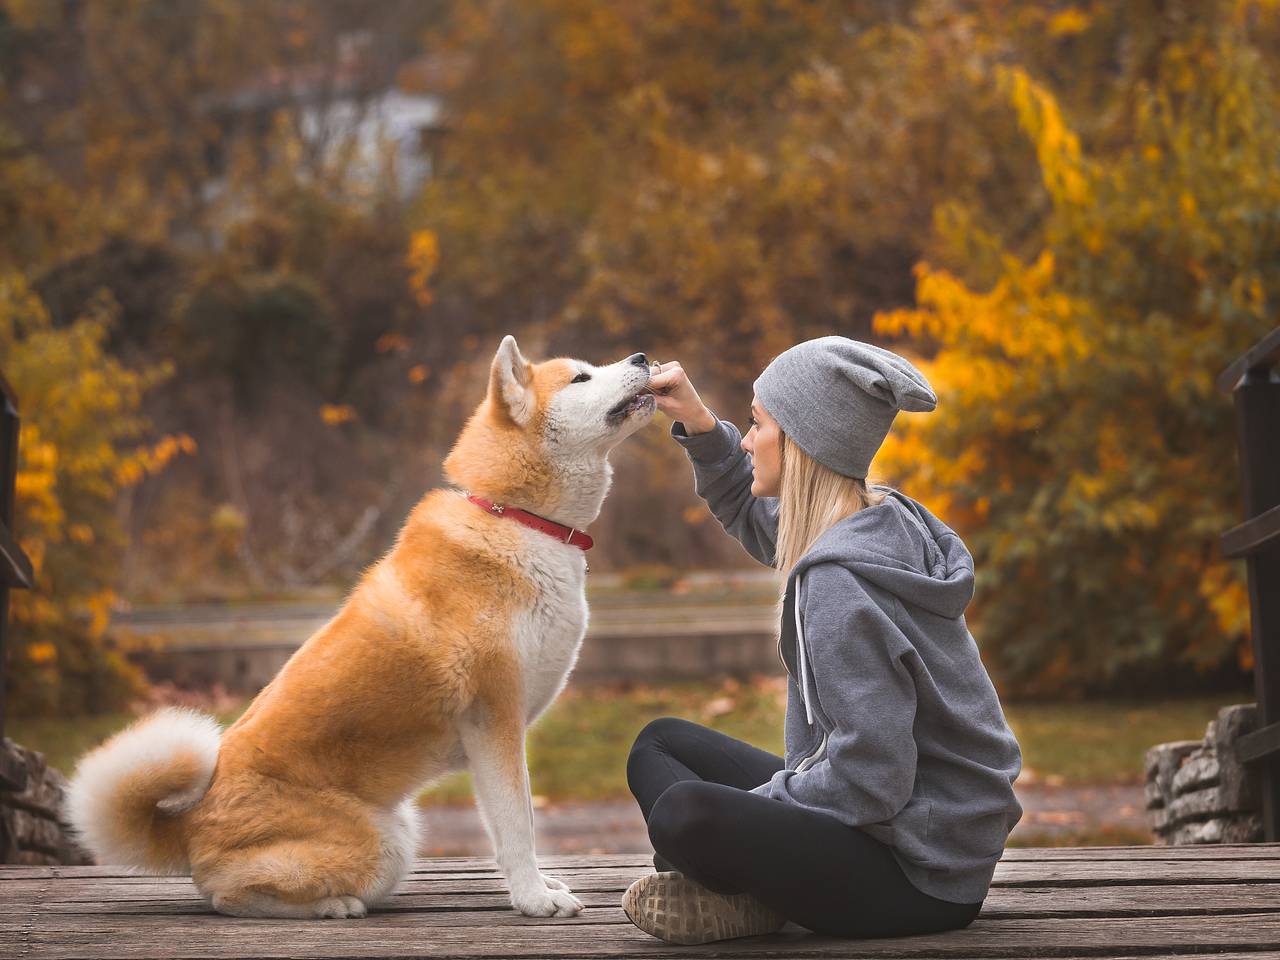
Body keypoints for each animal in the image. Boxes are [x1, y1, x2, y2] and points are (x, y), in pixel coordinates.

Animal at [64, 335, 655, 921]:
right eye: (580, 377)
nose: (643, 358)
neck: (515, 517)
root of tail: (189, 824)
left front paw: (540, 887)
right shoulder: (495, 722)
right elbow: (517, 826)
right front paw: (533, 899)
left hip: (400, 827)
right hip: (384, 843)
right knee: (226, 894)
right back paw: (332, 905)